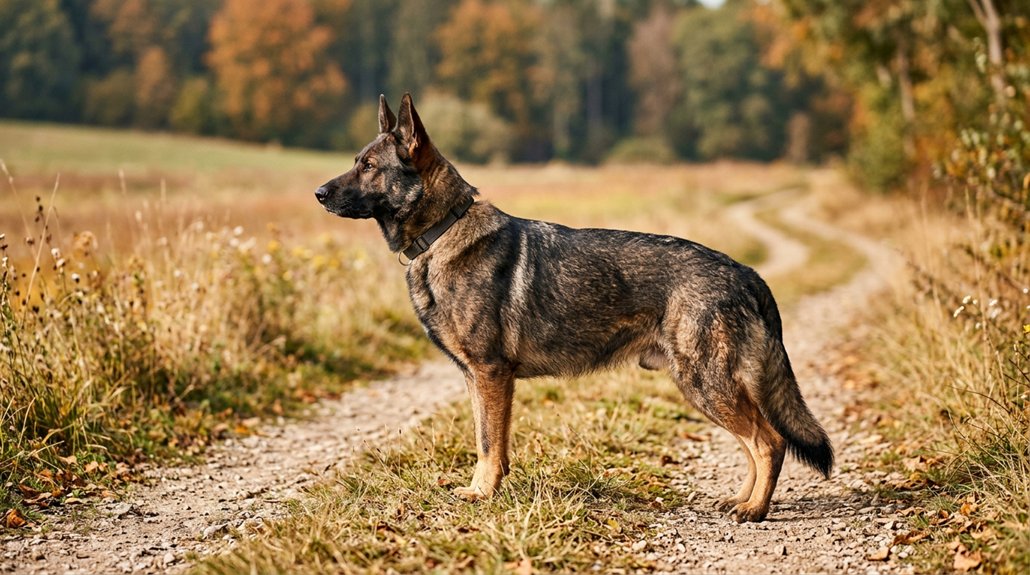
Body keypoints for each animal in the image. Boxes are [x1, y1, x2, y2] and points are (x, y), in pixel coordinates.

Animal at [315, 94, 833, 522]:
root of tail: (745, 272)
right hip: (706, 387)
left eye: (368, 166)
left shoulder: (490, 373)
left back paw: (756, 510)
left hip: (705, 383)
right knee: (752, 444)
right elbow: (490, 443)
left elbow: (487, 443)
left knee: (769, 442)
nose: (318, 193)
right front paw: (488, 489)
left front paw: (482, 495)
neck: (443, 229)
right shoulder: (478, 380)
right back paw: (742, 499)